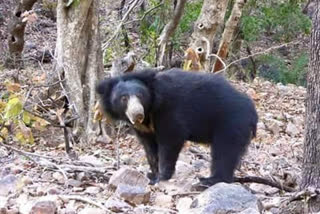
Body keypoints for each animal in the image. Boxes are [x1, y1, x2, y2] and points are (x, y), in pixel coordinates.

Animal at [96, 68, 258, 187]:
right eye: (123, 98)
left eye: (140, 96)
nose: (137, 114)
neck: (150, 110)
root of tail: (252, 111)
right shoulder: (143, 129)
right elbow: (149, 148)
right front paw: (152, 174)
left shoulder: (169, 110)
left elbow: (170, 140)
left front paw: (161, 177)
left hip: (231, 123)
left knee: (225, 151)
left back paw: (210, 180)